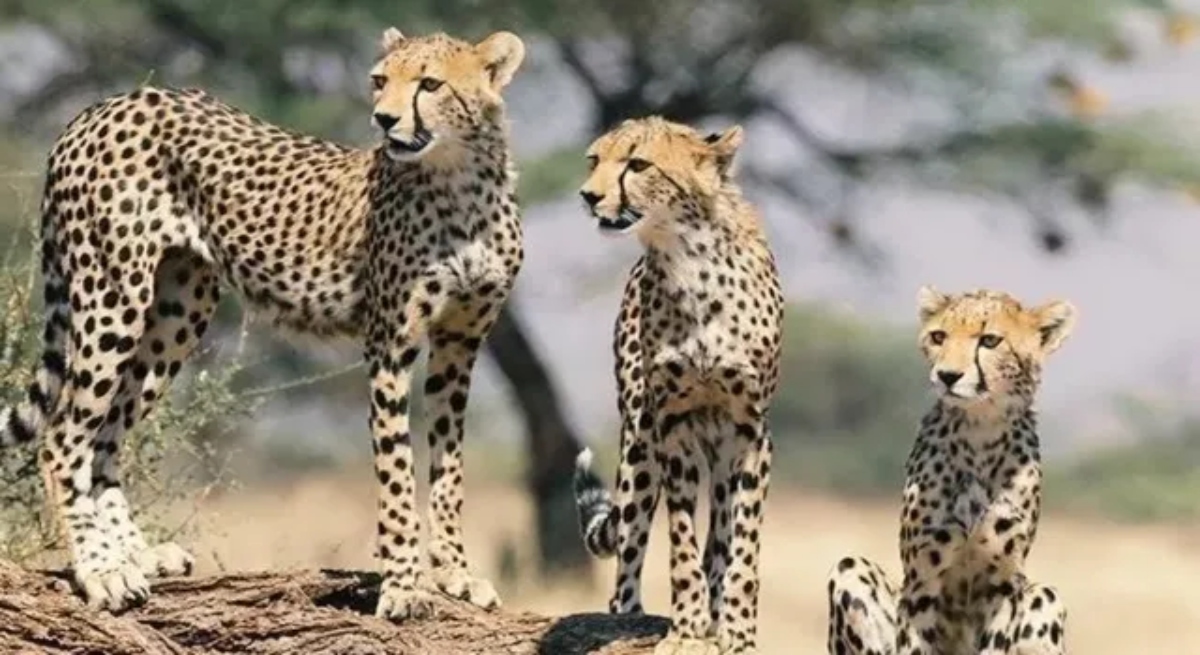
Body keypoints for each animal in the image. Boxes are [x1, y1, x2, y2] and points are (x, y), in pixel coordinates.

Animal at [0, 26, 527, 620]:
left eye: (430, 84)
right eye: (379, 80)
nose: (384, 119)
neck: (460, 178)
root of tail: (104, 105)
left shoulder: (460, 344)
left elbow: (447, 469)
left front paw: (458, 575)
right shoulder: (389, 346)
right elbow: (396, 473)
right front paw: (402, 586)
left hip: (178, 313)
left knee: (106, 437)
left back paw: (136, 556)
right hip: (113, 297)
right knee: (64, 436)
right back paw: (101, 571)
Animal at [571, 116, 784, 655]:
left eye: (637, 164)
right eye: (594, 160)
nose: (588, 195)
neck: (690, 258)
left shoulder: (750, 432)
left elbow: (742, 546)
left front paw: (735, 631)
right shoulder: (673, 426)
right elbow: (681, 541)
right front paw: (687, 630)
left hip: (721, 453)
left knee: (722, 533)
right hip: (639, 441)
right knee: (630, 543)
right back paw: (629, 615)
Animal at [826, 286, 1076, 655]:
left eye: (989, 341)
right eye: (938, 337)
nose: (947, 376)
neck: (980, 431)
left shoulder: (1004, 585)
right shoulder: (921, 581)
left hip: (1044, 597)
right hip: (851, 570)